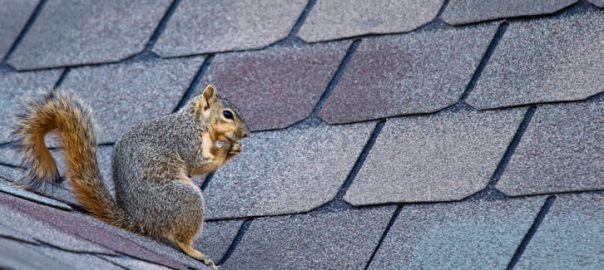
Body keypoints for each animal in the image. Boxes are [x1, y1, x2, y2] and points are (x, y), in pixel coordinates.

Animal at [14, 84, 250, 268]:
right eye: (227, 114)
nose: (246, 133)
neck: (196, 121)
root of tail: (142, 221)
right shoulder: (186, 140)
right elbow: (198, 163)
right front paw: (226, 150)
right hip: (184, 199)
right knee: (181, 239)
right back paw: (196, 253)